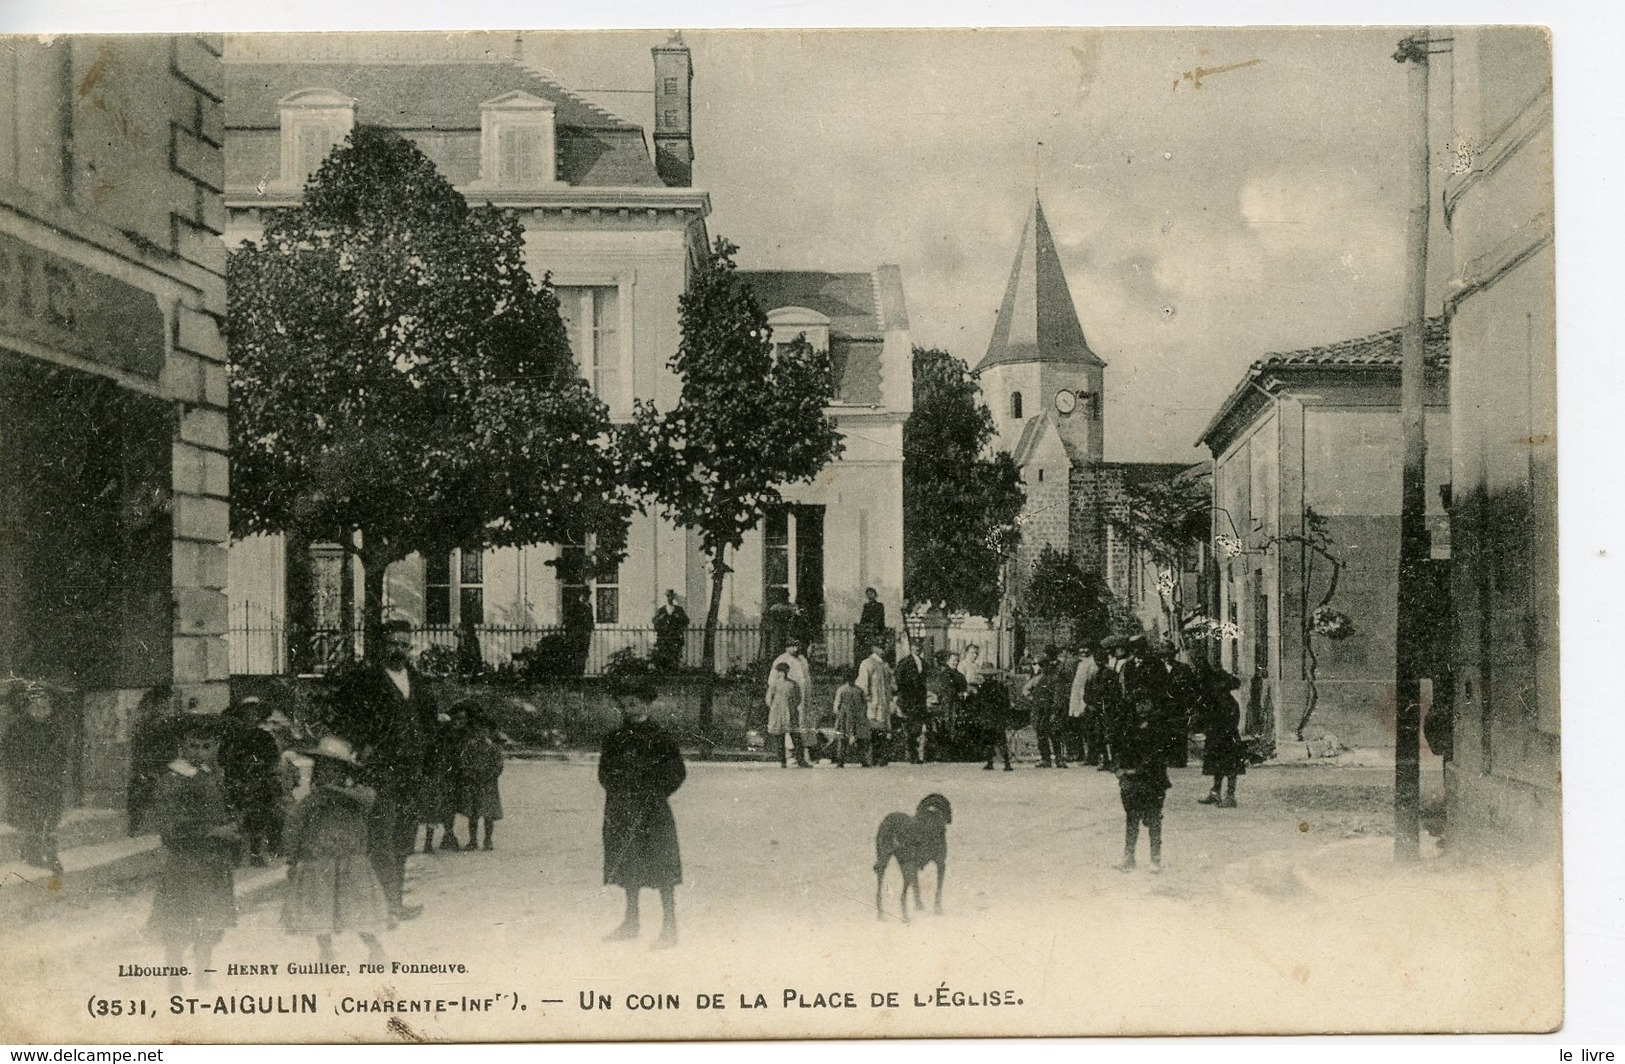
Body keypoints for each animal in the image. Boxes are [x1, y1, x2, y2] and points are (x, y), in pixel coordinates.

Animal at [877, 789, 949, 922]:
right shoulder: (941, 864)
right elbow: (938, 890)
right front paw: (938, 910)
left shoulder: (915, 868)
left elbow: (916, 888)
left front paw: (919, 907)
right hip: (907, 870)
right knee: (902, 897)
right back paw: (906, 918)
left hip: (884, 862)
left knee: (879, 891)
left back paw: (881, 915)